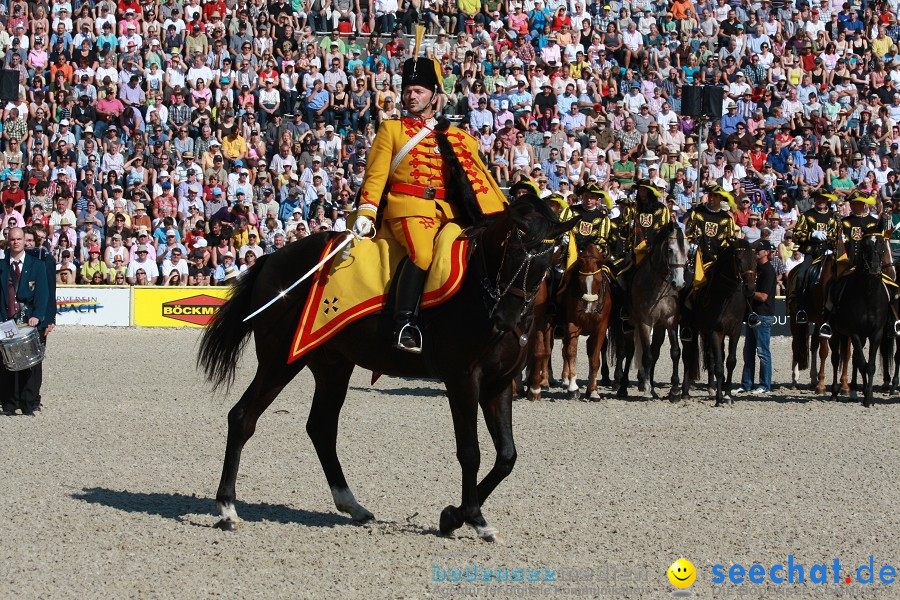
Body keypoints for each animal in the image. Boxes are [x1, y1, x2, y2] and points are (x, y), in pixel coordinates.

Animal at [197, 196, 576, 540]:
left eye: (549, 260)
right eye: (511, 251)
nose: (505, 320)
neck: (478, 287)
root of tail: (272, 258)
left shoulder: (498, 384)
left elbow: (507, 456)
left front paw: (455, 516)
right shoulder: (463, 380)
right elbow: (470, 452)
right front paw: (471, 518)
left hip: (333, 366)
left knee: (321, 428)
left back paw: (352, 505)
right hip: (279, 361)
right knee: (243, 418)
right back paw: (228, 508)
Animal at [560, 244, 616, 404]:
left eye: (598, 280)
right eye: (580, 280)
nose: (589, 309)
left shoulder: (600, 328)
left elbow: (595, 359)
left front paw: (594, 391)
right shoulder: (572, 324)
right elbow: (571, 352)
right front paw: (573, 388)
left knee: (591, 352)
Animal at [684, 240, 760, 408]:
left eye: (755, 261)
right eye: (739, 259)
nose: (750, 289)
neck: (727, 296)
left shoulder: (734, 331)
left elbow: (730, 361)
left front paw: (727, 395)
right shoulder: (715, 332)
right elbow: (719, 365)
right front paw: (720, 399)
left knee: (710, 357)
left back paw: (711, 389)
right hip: (690, 328)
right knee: (688, 355)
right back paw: (685, 391)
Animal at [828, 234, 892, 408]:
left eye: (882, 246)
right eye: (865, 246)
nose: (875, 269)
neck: (868, 295)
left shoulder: (876, 333)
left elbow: (869, 366)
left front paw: (868, 397)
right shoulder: (854, 332)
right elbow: (863, 363)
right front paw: (865, 394)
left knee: (855, 358)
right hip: (836, 333)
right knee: (836, 358)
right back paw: (835, 393)